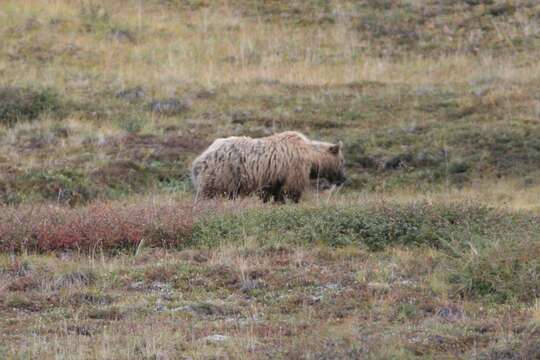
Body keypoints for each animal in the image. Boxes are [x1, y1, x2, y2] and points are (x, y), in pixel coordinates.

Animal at [191, 131, 346, 202]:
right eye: (342, 161)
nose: (343, 179)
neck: (311, 157)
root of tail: (199, 159)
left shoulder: (274, 176)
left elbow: (271, 192)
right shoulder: (295, 168)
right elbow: (291, 191)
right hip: (223, 173)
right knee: (210, 194)